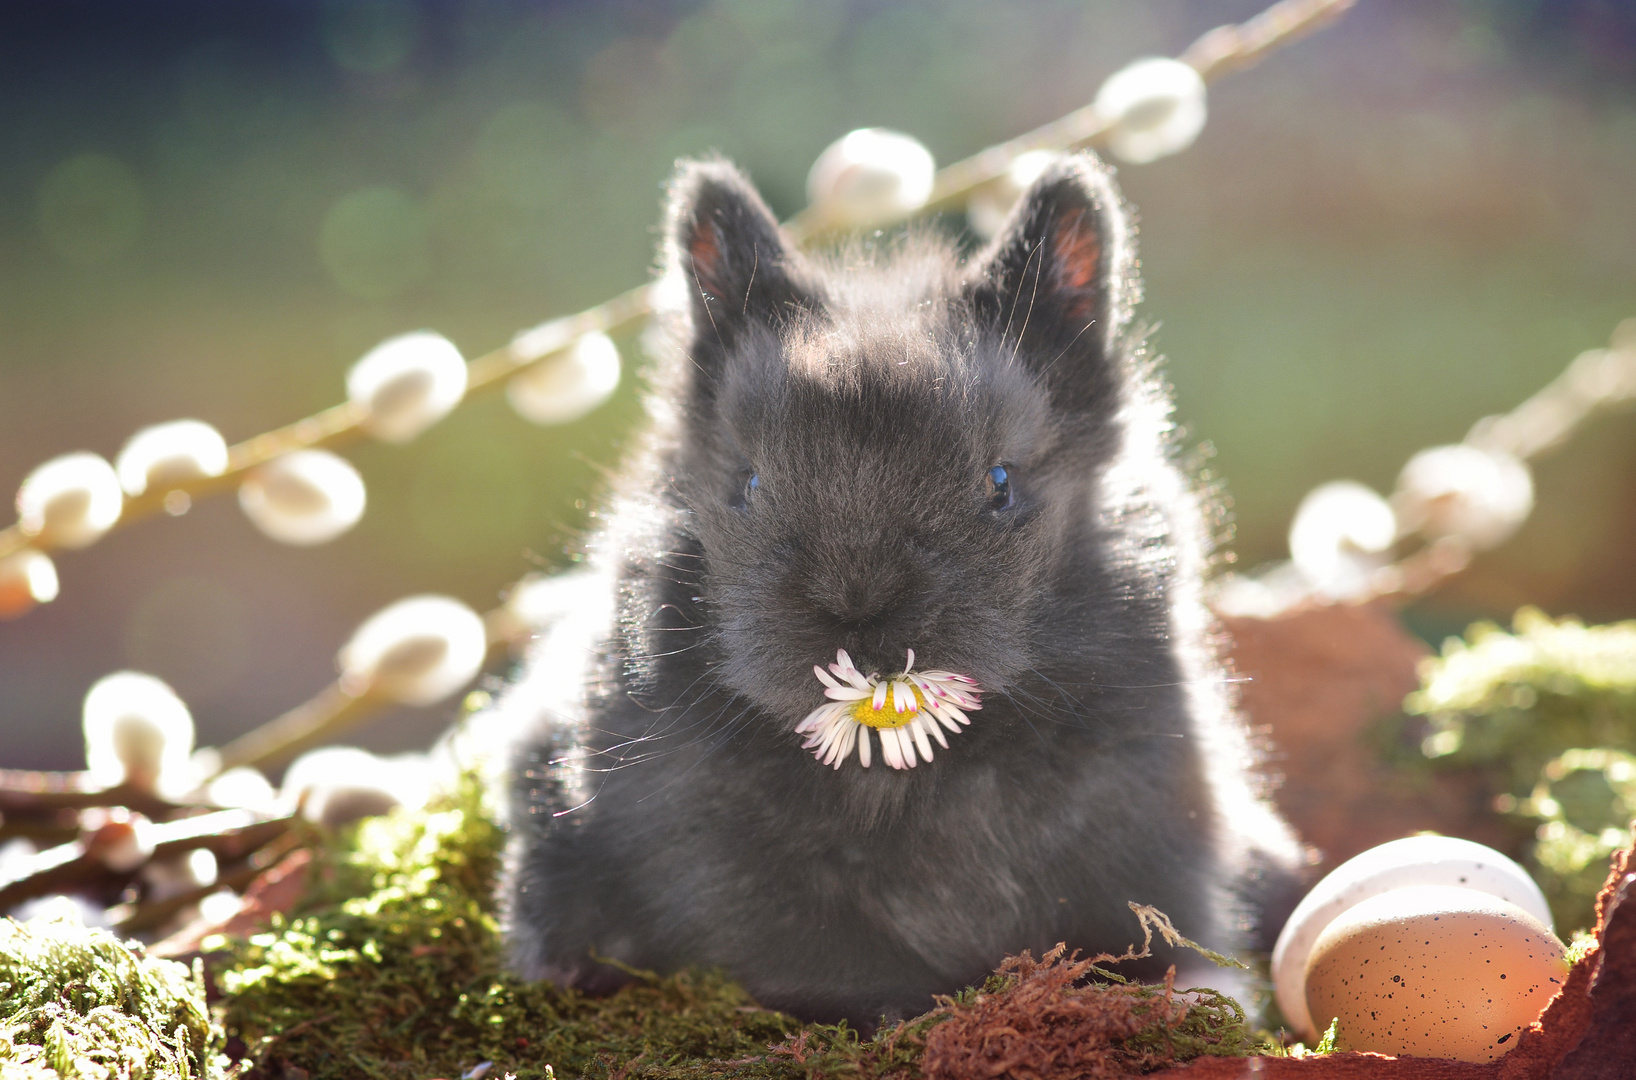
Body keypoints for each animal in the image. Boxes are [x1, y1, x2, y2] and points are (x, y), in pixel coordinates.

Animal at [497, 149, 1302, 1021]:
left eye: (1000, 484)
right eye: (748, 485)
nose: (858, 610)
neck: (892, 773)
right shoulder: (719, 865)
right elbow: (822, 958)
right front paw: (899, 1017)